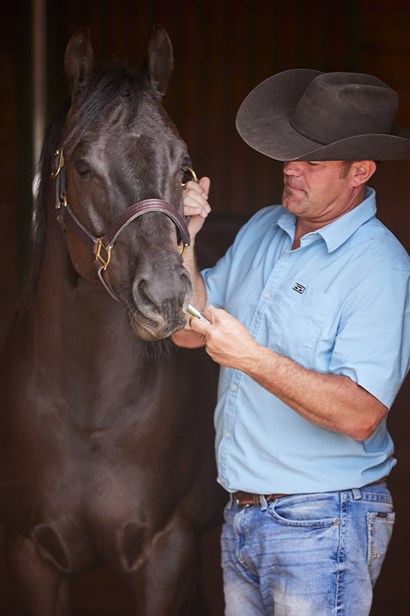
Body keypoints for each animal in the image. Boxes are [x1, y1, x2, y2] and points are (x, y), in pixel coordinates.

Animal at [0, 26, 224, 612]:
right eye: (82, 166)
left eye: (183, 163)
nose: (165, 298)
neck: (89, 413)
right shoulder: (31, 556)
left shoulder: (167, 554)